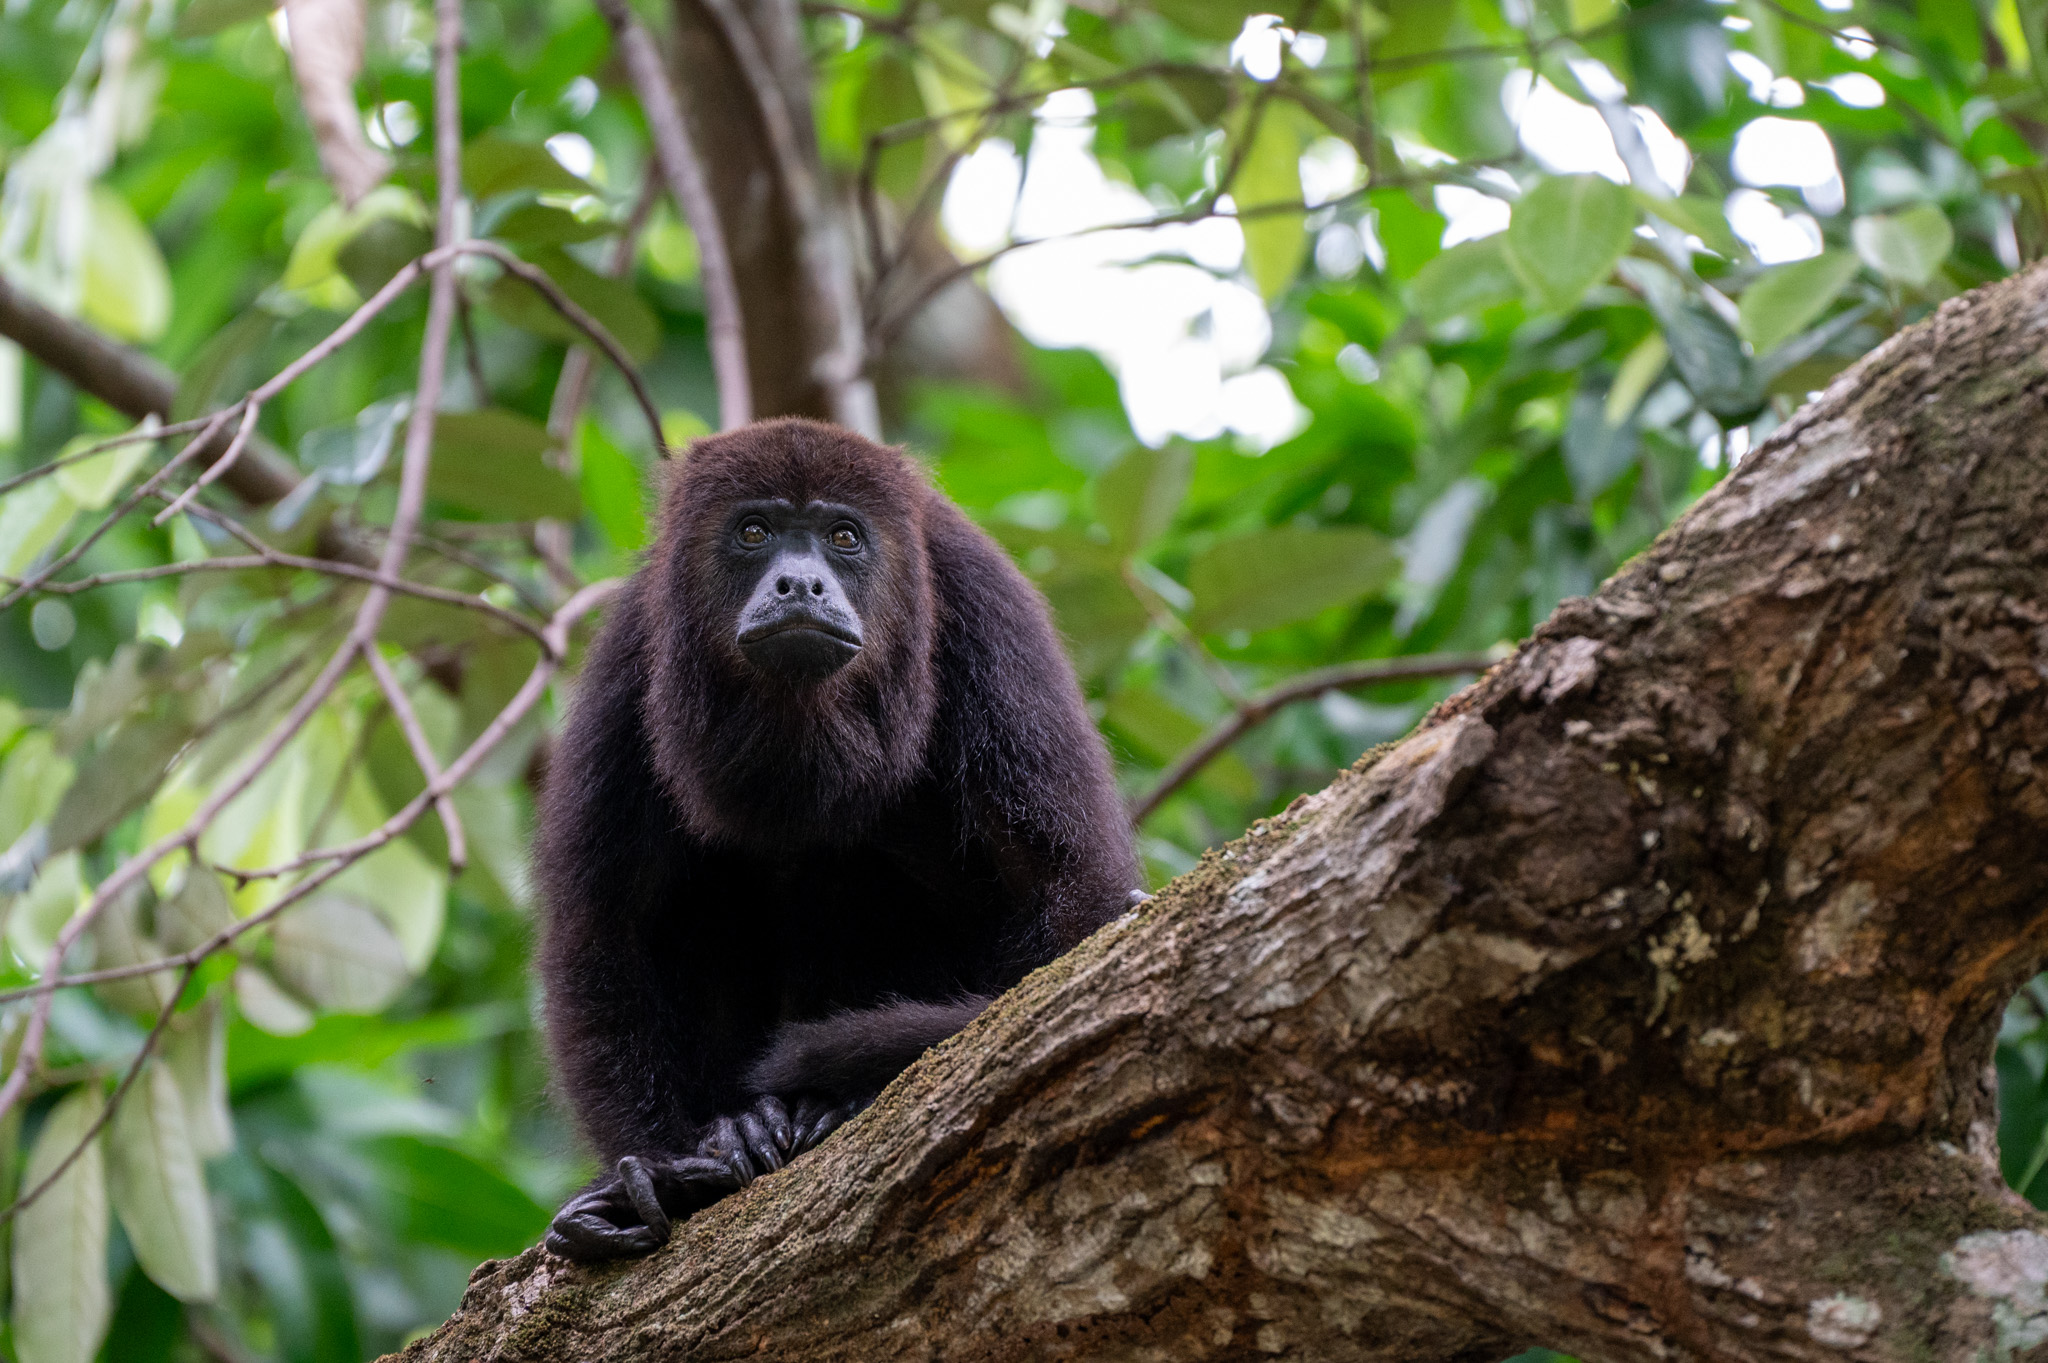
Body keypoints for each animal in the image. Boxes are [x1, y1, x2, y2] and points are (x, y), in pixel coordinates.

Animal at [537, 418, 1142, 1261]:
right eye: (754, 532)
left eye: (844, 537)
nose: (800, 584)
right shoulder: (631, 654)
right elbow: (607, 926)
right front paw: (661, 1169)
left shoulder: (987, 611)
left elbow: (1067, 888)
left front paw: (843, 1094)